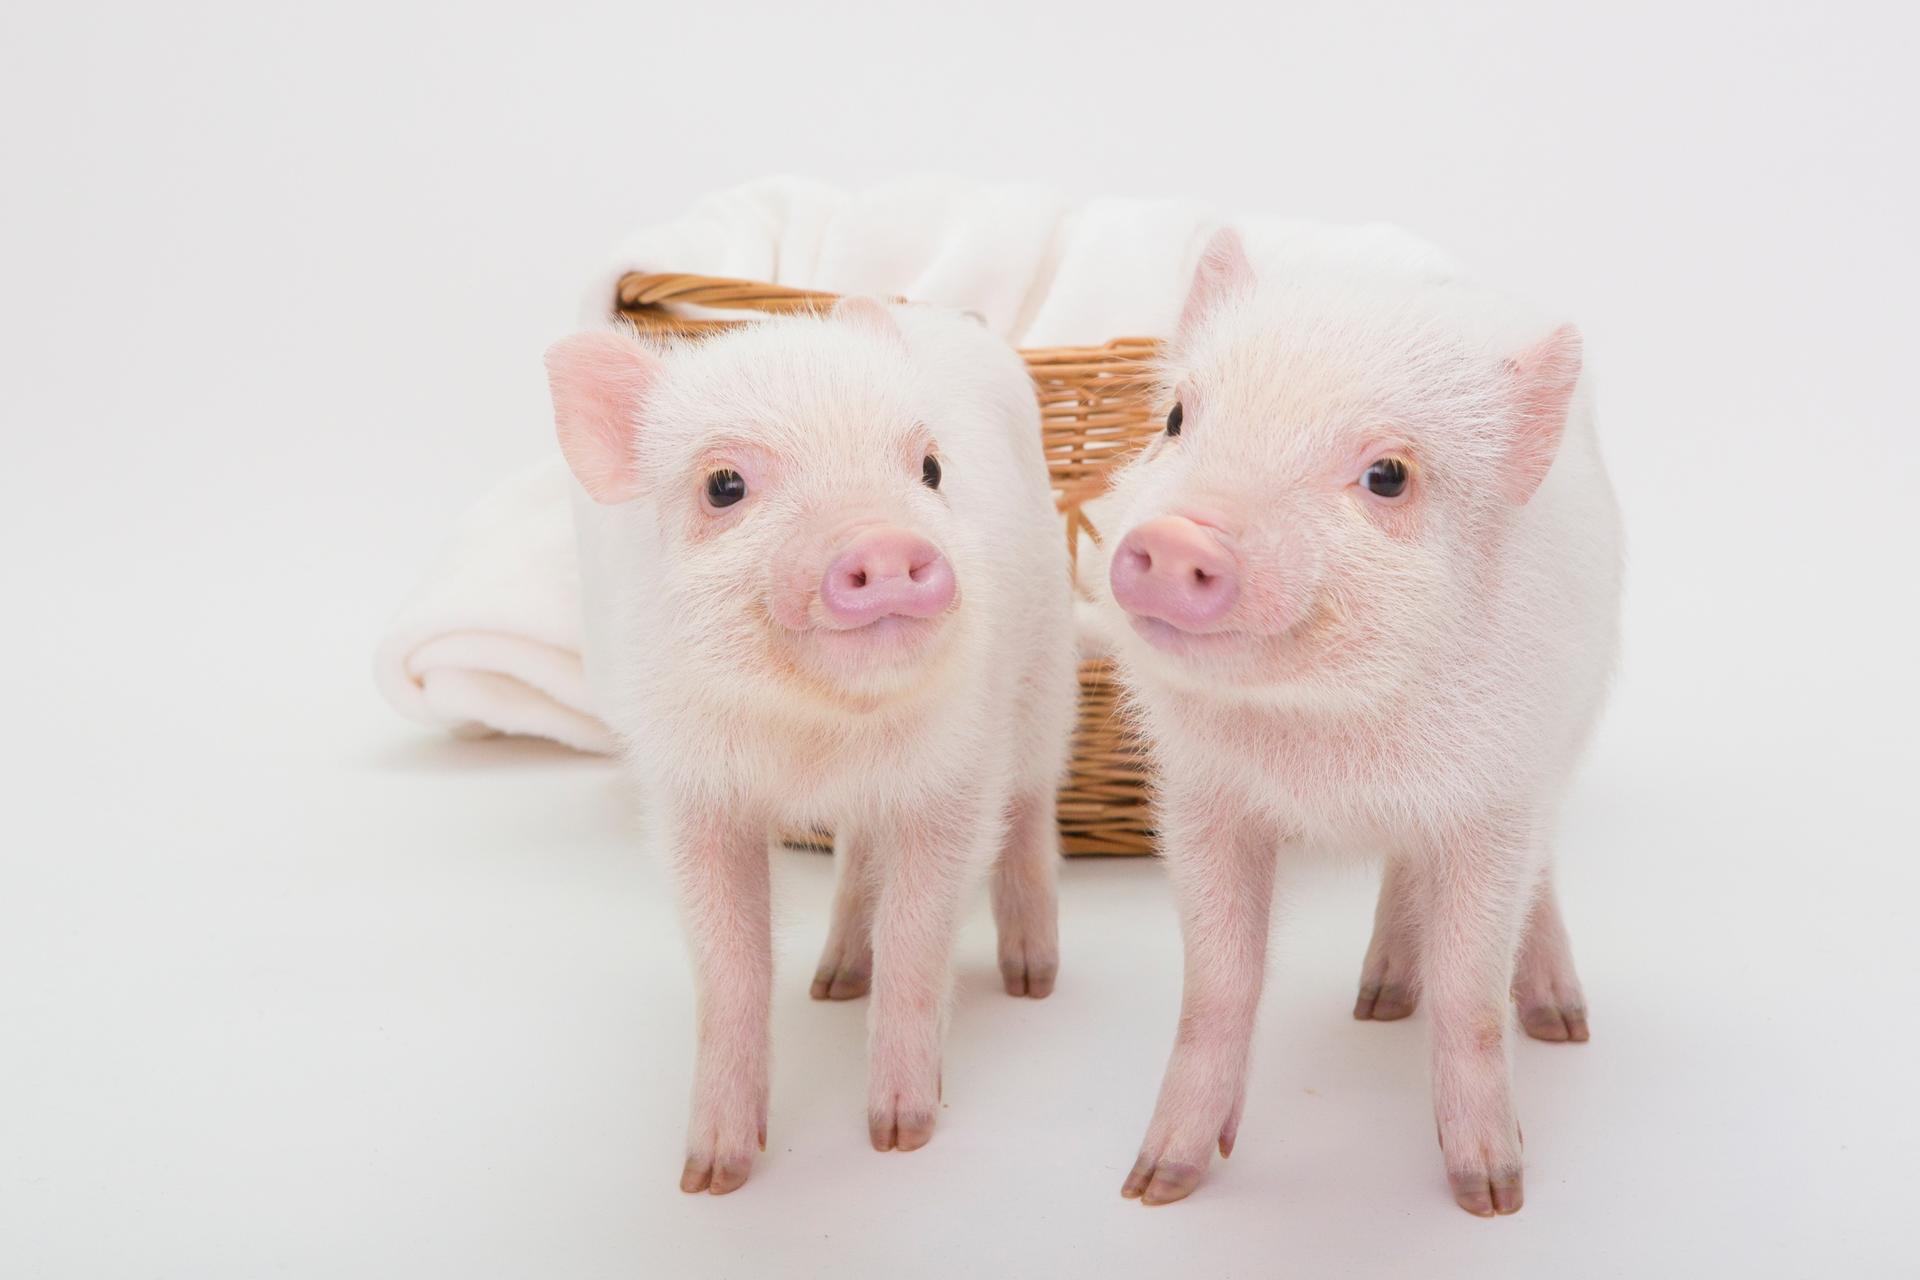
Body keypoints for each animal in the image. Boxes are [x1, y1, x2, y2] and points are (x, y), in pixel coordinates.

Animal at [544, 298, 1077, 1195]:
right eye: (724, 485)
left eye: (930, 468)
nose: (886, 543)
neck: (819, 737)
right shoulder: (694, 793)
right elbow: (731, 965)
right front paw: (710, 1177)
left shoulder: (955, 776)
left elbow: (917, 940)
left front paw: (899, 1138)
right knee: (859, 851)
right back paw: (832, 984)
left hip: (1047, 672)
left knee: (1032, 806)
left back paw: (1034, 981)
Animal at [1092, 229, 1622, 1215]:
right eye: (1177, 418)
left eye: (1387, 476)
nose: (1179, 538)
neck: (1331, 750)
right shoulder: (1203, 797)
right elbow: (1217, 980)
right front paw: (1155, 1185)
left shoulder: (1496, 799)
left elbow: (1469, 989)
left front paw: (1492, 1196)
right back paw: (1376, 1001)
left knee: (1540, 879)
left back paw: (1562, 1023)